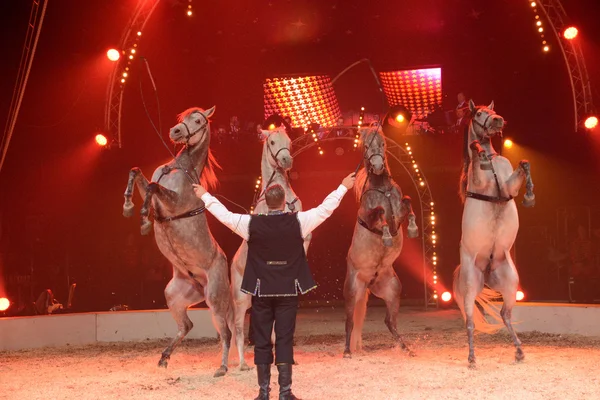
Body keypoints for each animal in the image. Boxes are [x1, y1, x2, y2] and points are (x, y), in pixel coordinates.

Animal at [454, 100, 536, 368]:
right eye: (479, 113)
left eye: (492, 110)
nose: (498, 120)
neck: (492, 160)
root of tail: (487, 269)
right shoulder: (480, 183)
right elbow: (476, 154)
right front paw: (478, 151)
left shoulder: (508, 187)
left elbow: (524, 164)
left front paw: (530, 197)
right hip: (470, 286)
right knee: (470, 322)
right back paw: (471, 358)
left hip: (510, 285)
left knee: (504, 314)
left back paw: (519, 351)